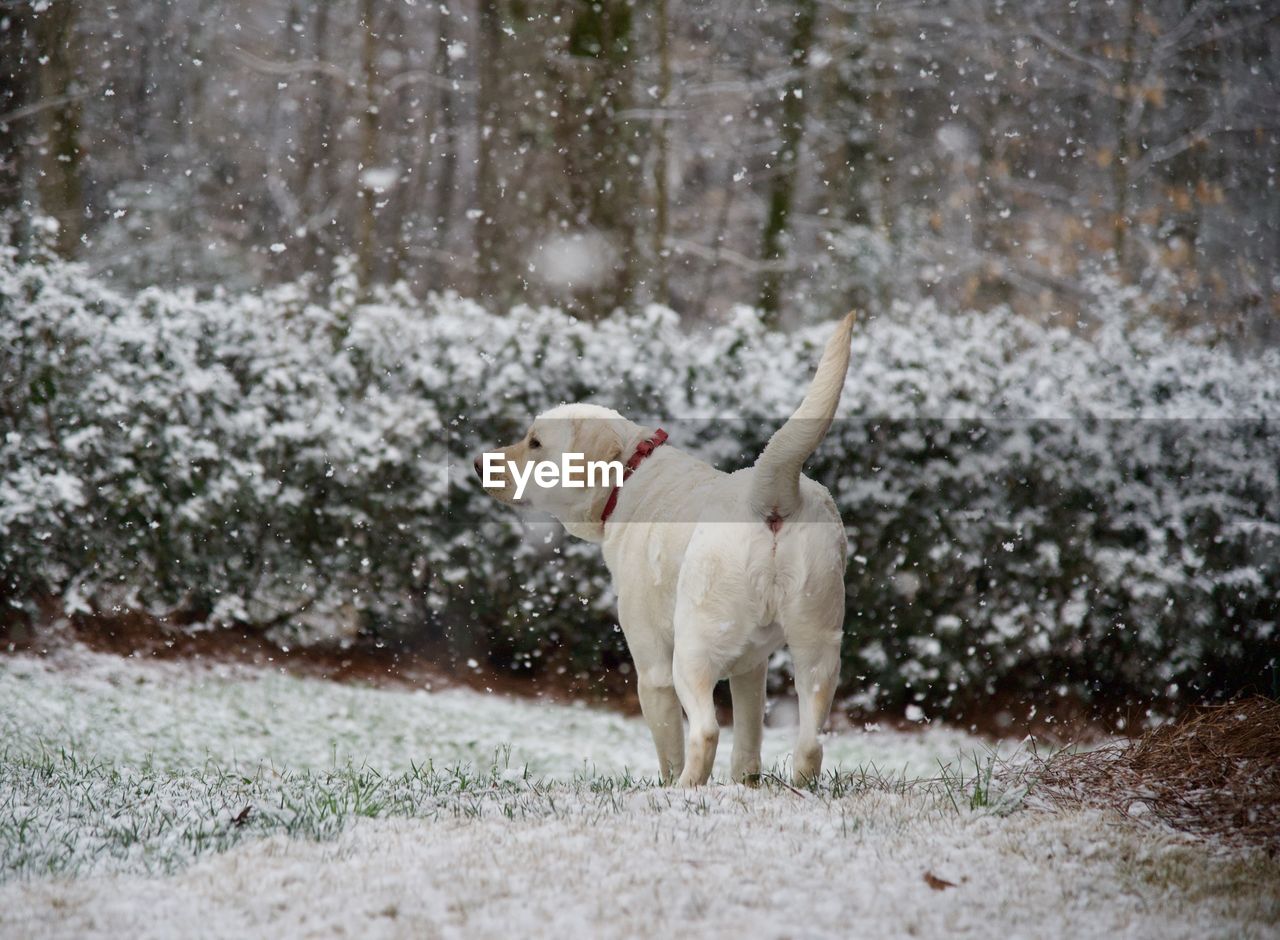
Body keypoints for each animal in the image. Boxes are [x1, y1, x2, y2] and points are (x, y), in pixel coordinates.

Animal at [476, 315, 855, 788]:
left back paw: (684, 791)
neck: (628, 475)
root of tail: (769, 498)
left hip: (692, 650)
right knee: (810, 743)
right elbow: (748, 744)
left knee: (706, 731)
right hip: (818, 646)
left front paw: (669, 785)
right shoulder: (752, 666)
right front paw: (745, 786)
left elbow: (669, 749)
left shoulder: (652, 667)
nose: (478, 463)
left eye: (535, 442)